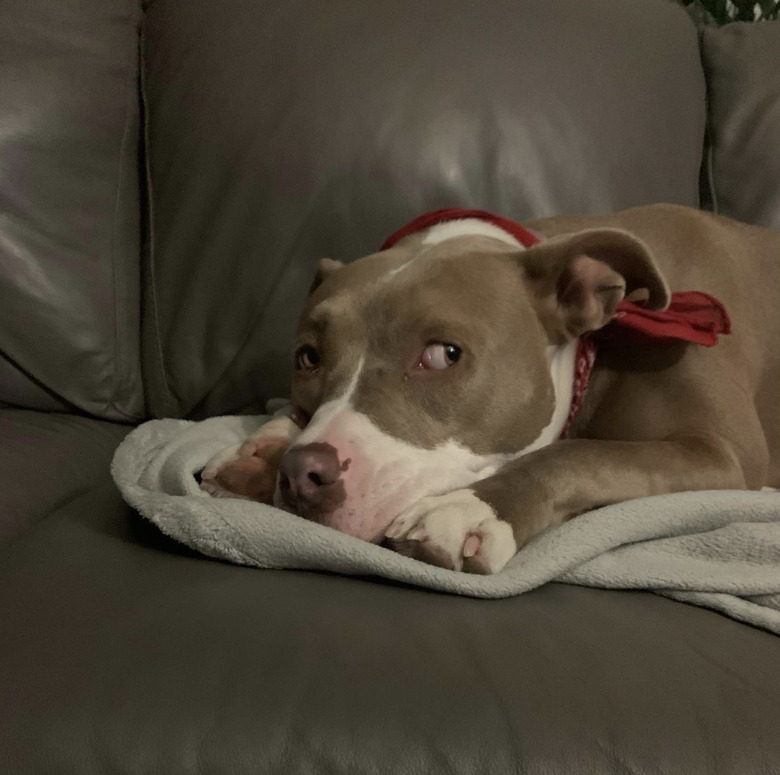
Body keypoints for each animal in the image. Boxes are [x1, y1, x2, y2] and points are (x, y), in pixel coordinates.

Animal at [203, 206, 780, 576]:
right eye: (308, 357)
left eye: (443, 354)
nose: (302, 474)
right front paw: (259, 450)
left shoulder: (722, 454)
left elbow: (580, 453)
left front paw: (471, 509)